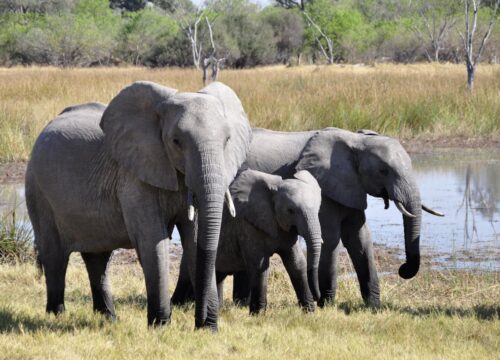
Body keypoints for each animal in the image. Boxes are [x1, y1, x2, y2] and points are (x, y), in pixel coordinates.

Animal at [25, 80, 252, 330]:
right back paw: (56, 315)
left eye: (227, 141)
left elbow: (194, 240)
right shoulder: (134, 177)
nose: (202, 323)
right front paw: (160, 326)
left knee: (98, 258)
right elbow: (153, 240)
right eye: (176, 142)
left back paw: (108, 318)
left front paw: (206, 329)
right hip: (38, 190)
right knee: (55, 256)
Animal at [217, 170, 322, 314]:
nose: (318, 297)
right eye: (290, 211)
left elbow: (297, 263)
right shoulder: (247, 224)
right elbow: (259, 265)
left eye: (318, 210)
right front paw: (259, 314)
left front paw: (310, 312)